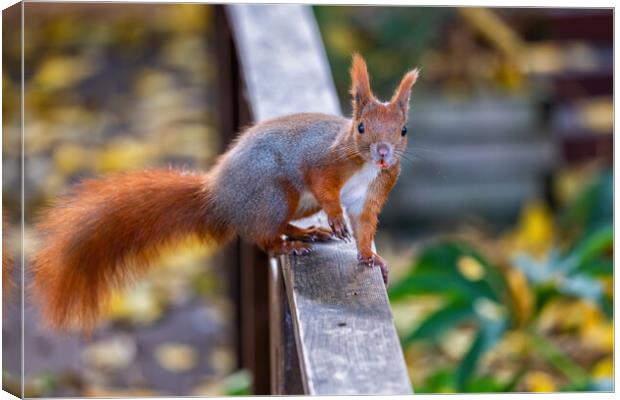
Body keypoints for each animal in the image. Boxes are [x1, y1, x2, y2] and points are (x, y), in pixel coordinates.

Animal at [29, 54, 416, 332]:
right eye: (361, 127)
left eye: (403, 130)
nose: (383, 153)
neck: (364, 164)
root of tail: (217, 196)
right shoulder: (322, 162)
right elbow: (325, 189)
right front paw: (335, 219)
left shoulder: (374, 192)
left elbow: (365, 227)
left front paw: (372, 258)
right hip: (275, 195)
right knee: (265, 239)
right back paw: (291, 244)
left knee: (275, 228)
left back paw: (307, 232)